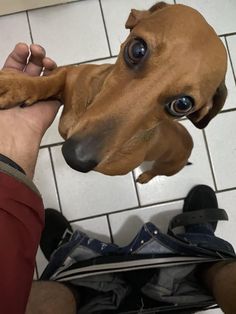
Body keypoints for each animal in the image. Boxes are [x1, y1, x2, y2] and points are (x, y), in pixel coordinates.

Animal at [0, 1, 227, 183]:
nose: (76, 157)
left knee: (156, 172)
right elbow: (49, 82)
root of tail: (189, 145)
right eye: (137, 50)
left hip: (169, 168)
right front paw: (13, 85)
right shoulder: (70, 75)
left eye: (182, 105)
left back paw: (145, 176)